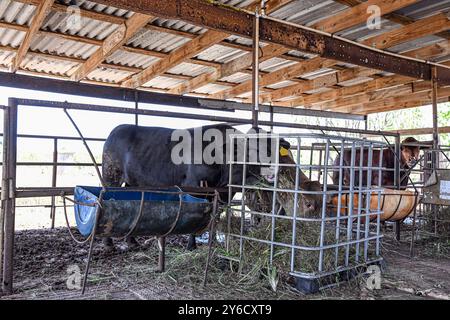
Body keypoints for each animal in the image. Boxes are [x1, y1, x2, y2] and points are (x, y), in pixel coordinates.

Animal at [101, 124, 292, 251]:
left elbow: (214, 216)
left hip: (131, 181)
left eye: (275, 149)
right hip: (111, 175)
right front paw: (191, 245)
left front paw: (213, 243)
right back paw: (109, 244)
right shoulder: (194, 188)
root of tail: (116, 130)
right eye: (253, 150)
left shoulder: (222, 195)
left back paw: (132, 241)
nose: (274, 169)